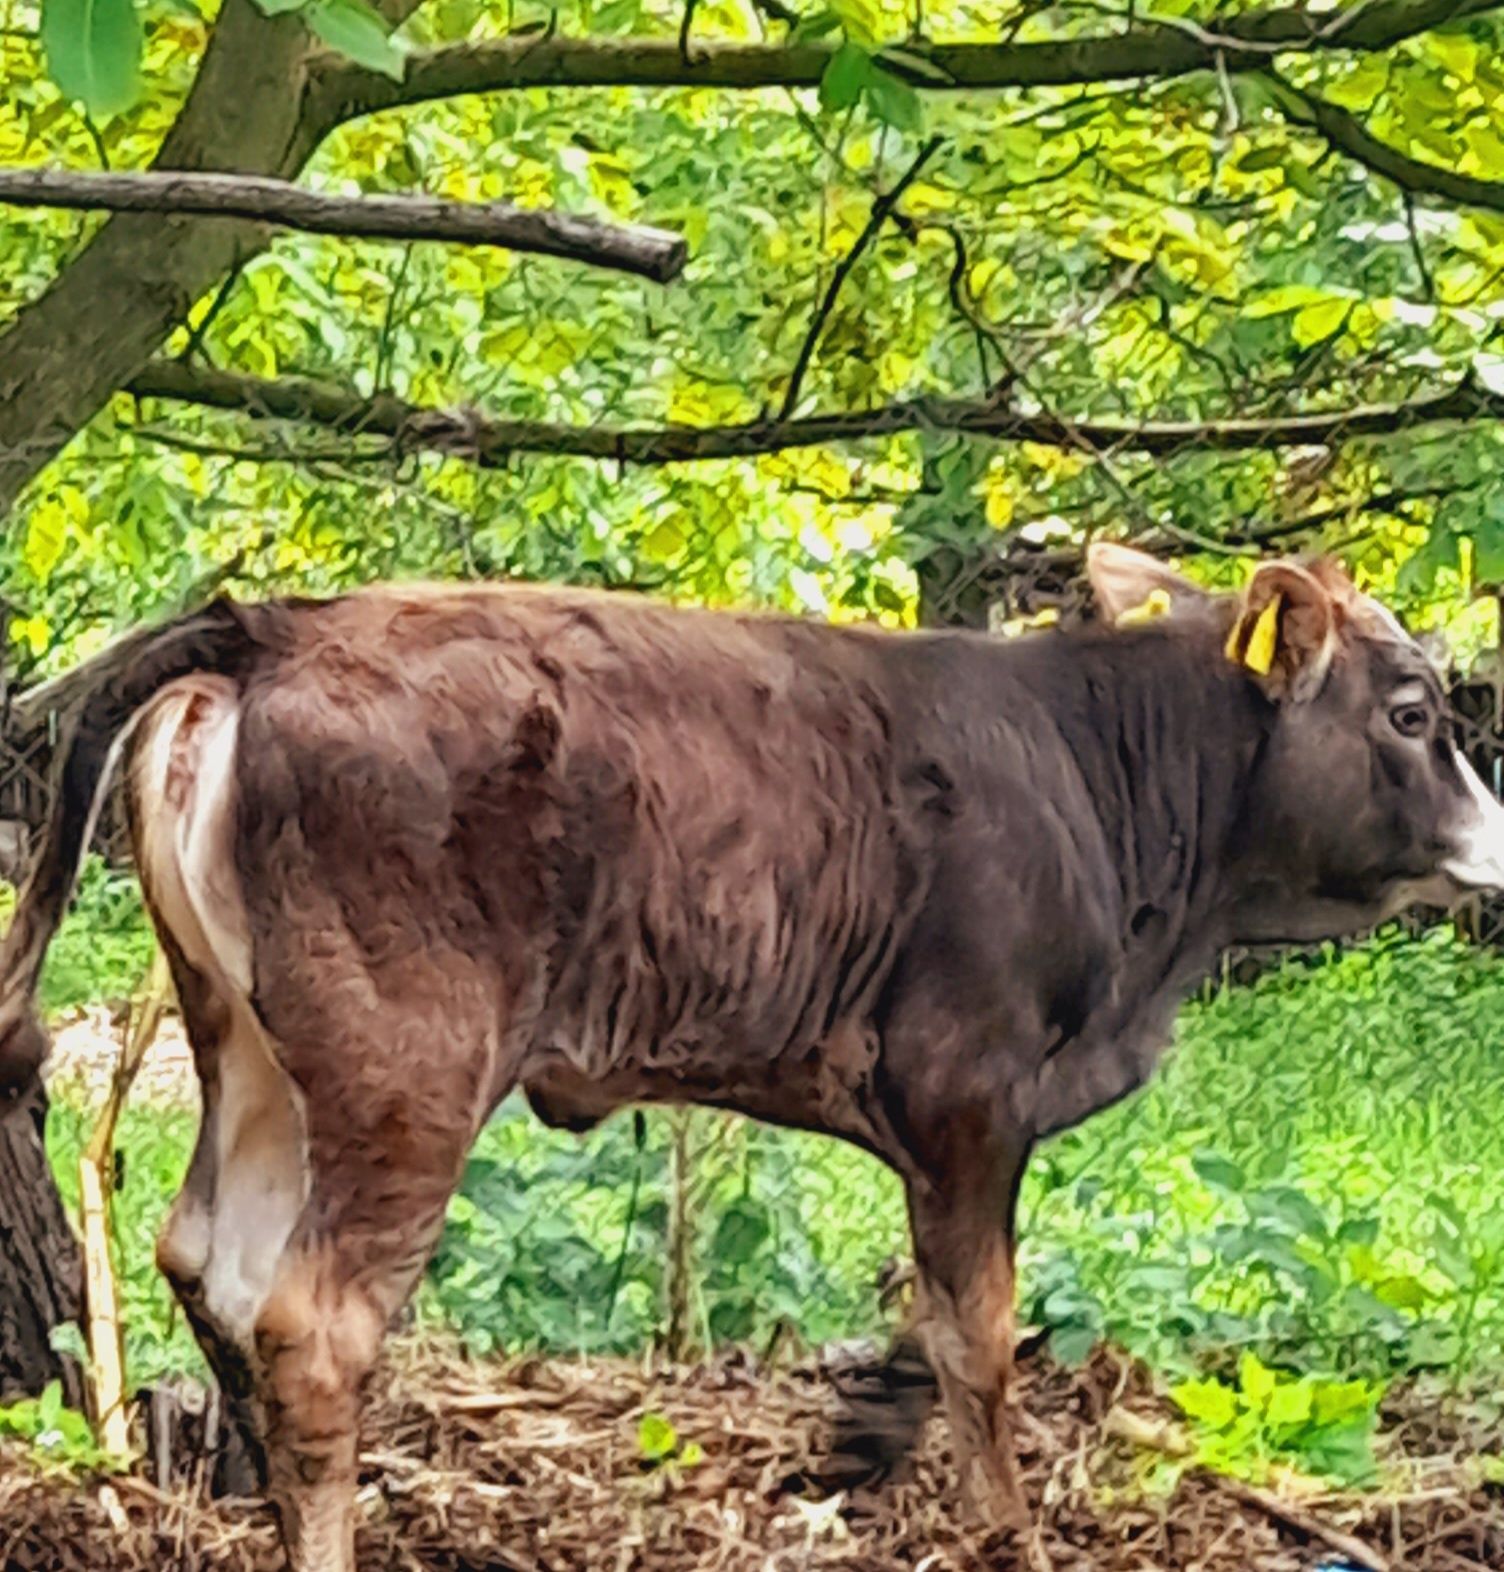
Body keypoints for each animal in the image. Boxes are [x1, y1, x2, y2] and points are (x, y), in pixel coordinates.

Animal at [2, 543, 1502, 1572]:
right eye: (1412, 712)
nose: (1496, 841)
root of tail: (277, 625)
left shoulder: (939, 1118)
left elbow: (935, 1309)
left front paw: (870, 1435)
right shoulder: (970, 1080)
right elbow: (982, 1326)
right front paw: (1000, 1526)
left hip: (245, 1040)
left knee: (212, 1259)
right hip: (406, 1061)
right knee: (314, 1323)